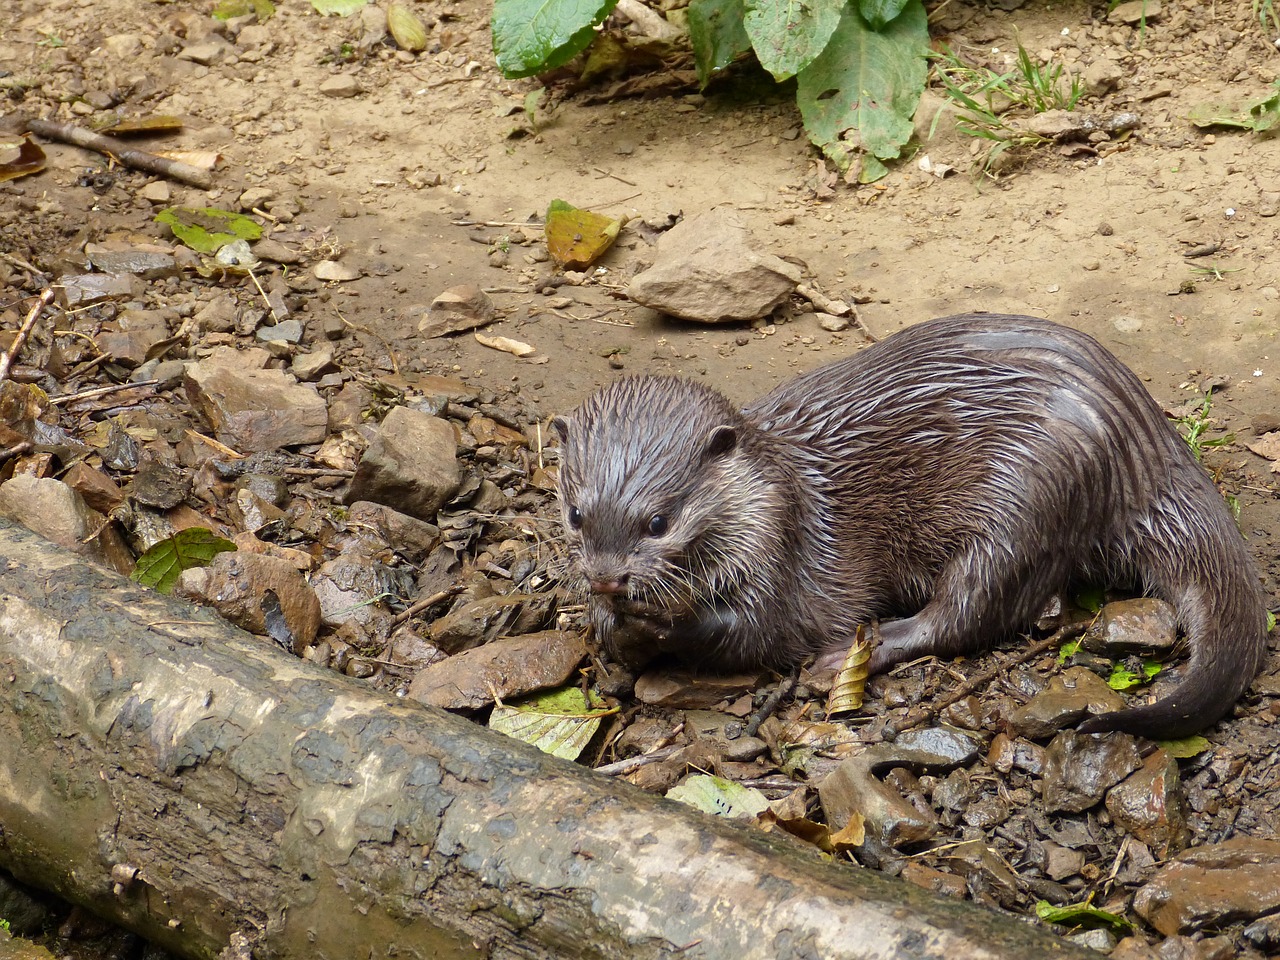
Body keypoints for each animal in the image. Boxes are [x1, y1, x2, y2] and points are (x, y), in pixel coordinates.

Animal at [558, 313, 1269, 737]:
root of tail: (1145, 448)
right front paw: (606, 621)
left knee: (971, 612)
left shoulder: (784, 556)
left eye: (658, 521)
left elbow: (760, 630)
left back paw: (853, 655)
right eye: (575, 514)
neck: (775, 497)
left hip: (1026, 499)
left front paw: (657, 622)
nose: (607, 579)